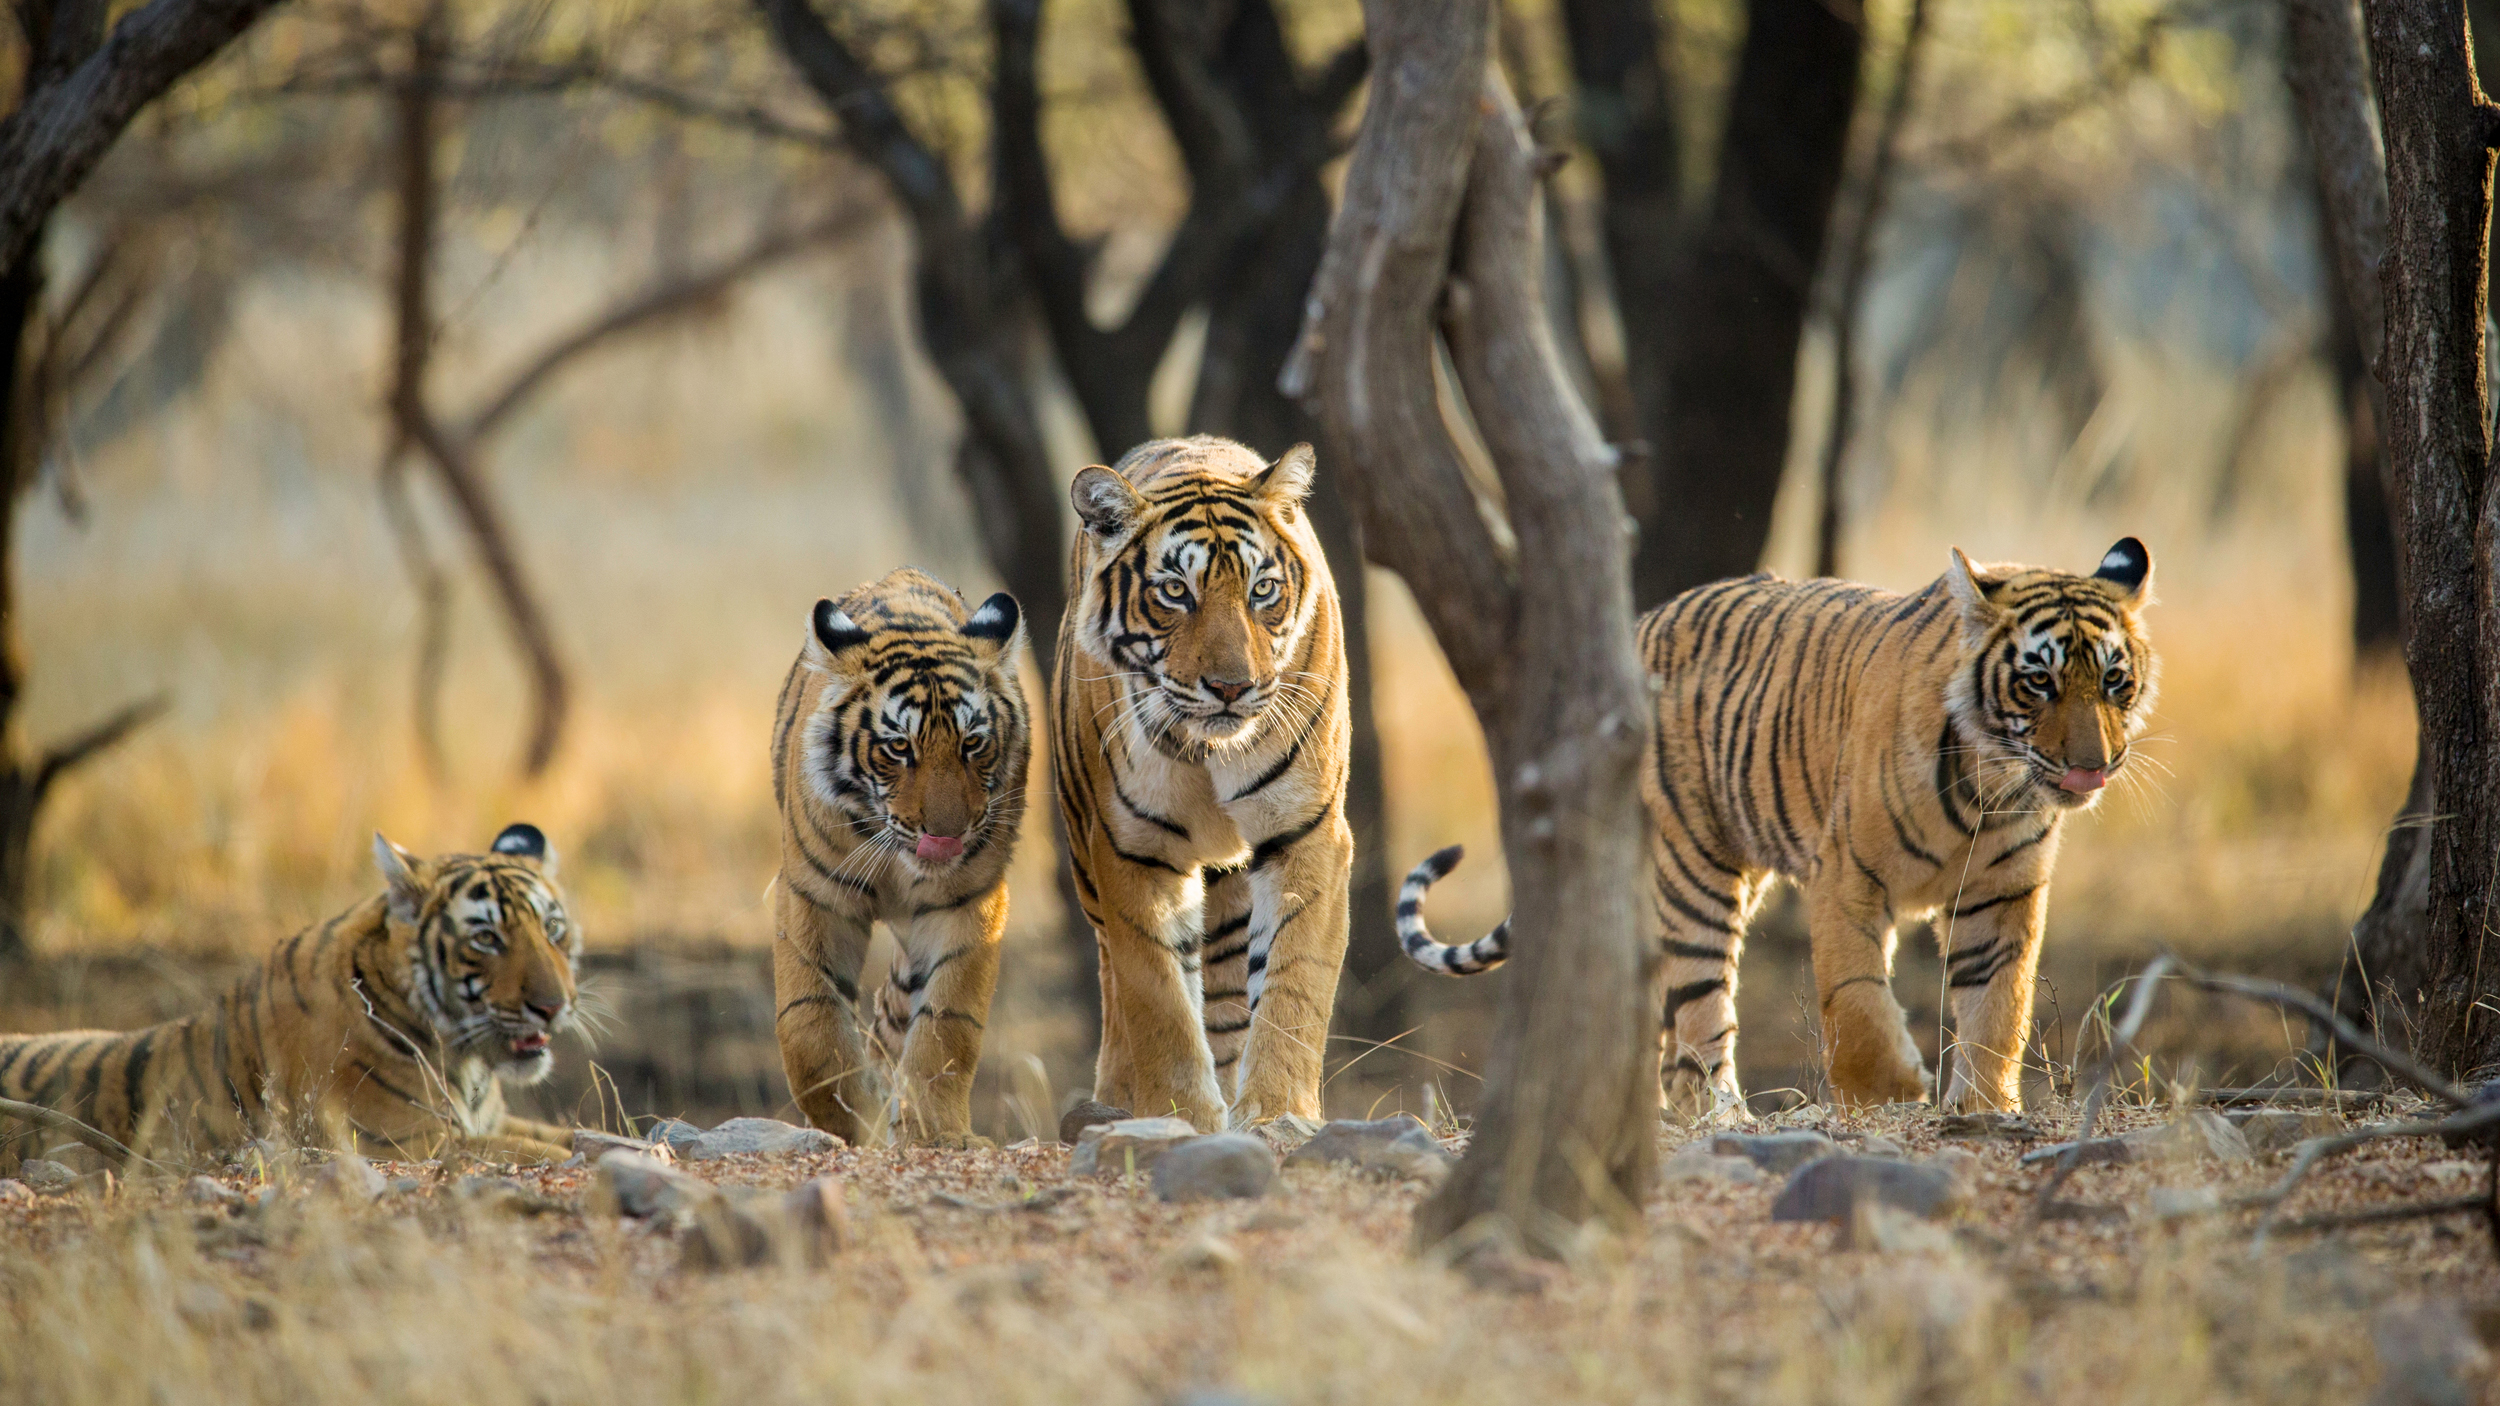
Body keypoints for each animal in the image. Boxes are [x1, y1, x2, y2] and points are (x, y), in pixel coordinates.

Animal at [0, 824, 581, 1170]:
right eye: (487, 938)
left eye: (553, 928)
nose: (554, 1006)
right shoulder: (408, 1141)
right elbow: (545, 1149)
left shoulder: (487, 1122)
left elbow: (574, 1133)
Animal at [769, 567, 1029, 1146]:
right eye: (898, 748)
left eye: (972, 744)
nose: (947, 836)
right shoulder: (814, 896)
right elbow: (810, 1027)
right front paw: (850, 1121)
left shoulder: (968, 902)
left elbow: (947, 1027)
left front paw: (936, 1133)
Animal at [1054, 435, 1353, 1132]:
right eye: (1174, 592)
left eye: (1262, 589)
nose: (1231, 687)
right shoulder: (1133, 849)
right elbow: (1157, 998)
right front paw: (1181, 1115)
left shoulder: (1307, 832)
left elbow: (1293, 983)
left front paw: (1277, 1113)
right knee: (1117, 983)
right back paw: (1113, 1098)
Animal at [1396, 539, 2159, 1115]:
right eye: (2039, 682)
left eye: (2114, 681)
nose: (2093, 766)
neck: (1990, 786)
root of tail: (1638, 625)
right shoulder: (1846, 875)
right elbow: (1855, 998)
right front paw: (1889, 1092)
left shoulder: (2001, 895)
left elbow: (2000, 1005)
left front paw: (1985, 1106)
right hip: (1694, 870)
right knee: (1700, 1013)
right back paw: (1721, 1115)